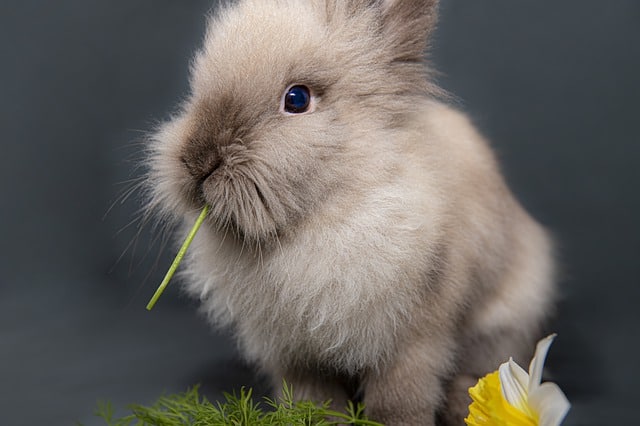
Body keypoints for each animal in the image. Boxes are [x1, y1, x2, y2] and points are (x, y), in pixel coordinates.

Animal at [144, 1, 556, 424]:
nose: (198, 160)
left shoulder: (411, 340)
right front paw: (317, 419)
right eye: (197, 88)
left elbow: (400, 398)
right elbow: (313, 397)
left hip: (499, 323)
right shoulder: (295, 353)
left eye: (297, 99)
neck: (316, 219)